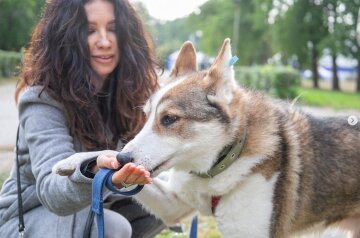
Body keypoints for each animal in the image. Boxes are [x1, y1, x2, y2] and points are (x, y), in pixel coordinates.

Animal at [54, 38, 360, 237]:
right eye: (146, 116)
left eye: (169, 119)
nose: (123, 159)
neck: (219, 166)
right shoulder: (174, 206)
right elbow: (100, 152)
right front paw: (75, 162)